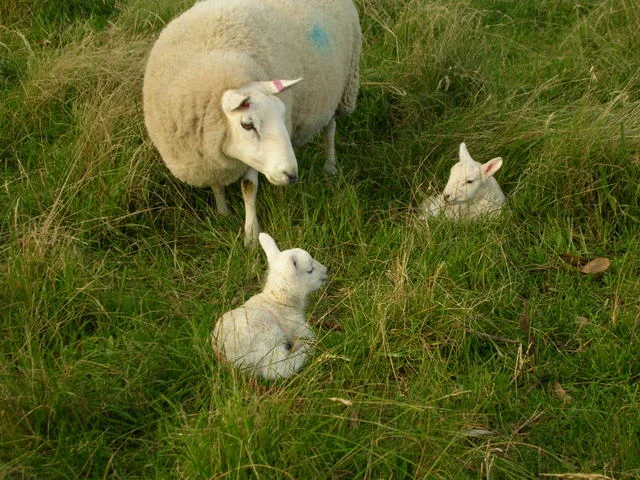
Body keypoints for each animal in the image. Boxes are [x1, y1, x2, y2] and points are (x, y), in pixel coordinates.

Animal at [143, 0, 361, 245]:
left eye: (283, 115)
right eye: (247, 125)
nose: (291, 175)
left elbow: (248, 188)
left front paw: (251, 236)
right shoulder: (209, 155)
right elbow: (217, 184)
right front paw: (222, 212)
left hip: (341, 88)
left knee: (330, 128)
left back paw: (330, 166)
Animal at [212, 232, 328, 380]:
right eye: (310, 270)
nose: (326, 271)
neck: (278, 300)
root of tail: (223, 352)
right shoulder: (296, 326)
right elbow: (309, 337)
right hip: (267, 339)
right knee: (276, 369)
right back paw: (306, 351)